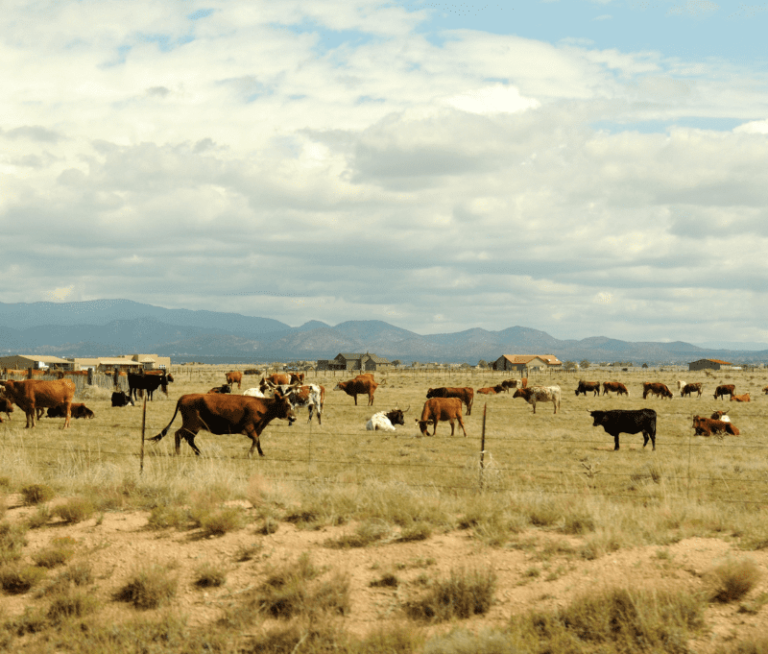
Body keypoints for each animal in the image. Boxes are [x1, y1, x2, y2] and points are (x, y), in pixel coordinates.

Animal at [149, 392, 296, 458]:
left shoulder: (256, 429)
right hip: (191, 425)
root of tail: (185, 396)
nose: (293, 418)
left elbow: (258, 440)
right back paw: (178, 452)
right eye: (286, 405)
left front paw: (261, 453)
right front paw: (250, 454)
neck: (262, 407)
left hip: (193, 427)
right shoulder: (248, 428)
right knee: (178, 434)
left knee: (189, 439)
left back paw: (198, 452)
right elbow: (255, 439)